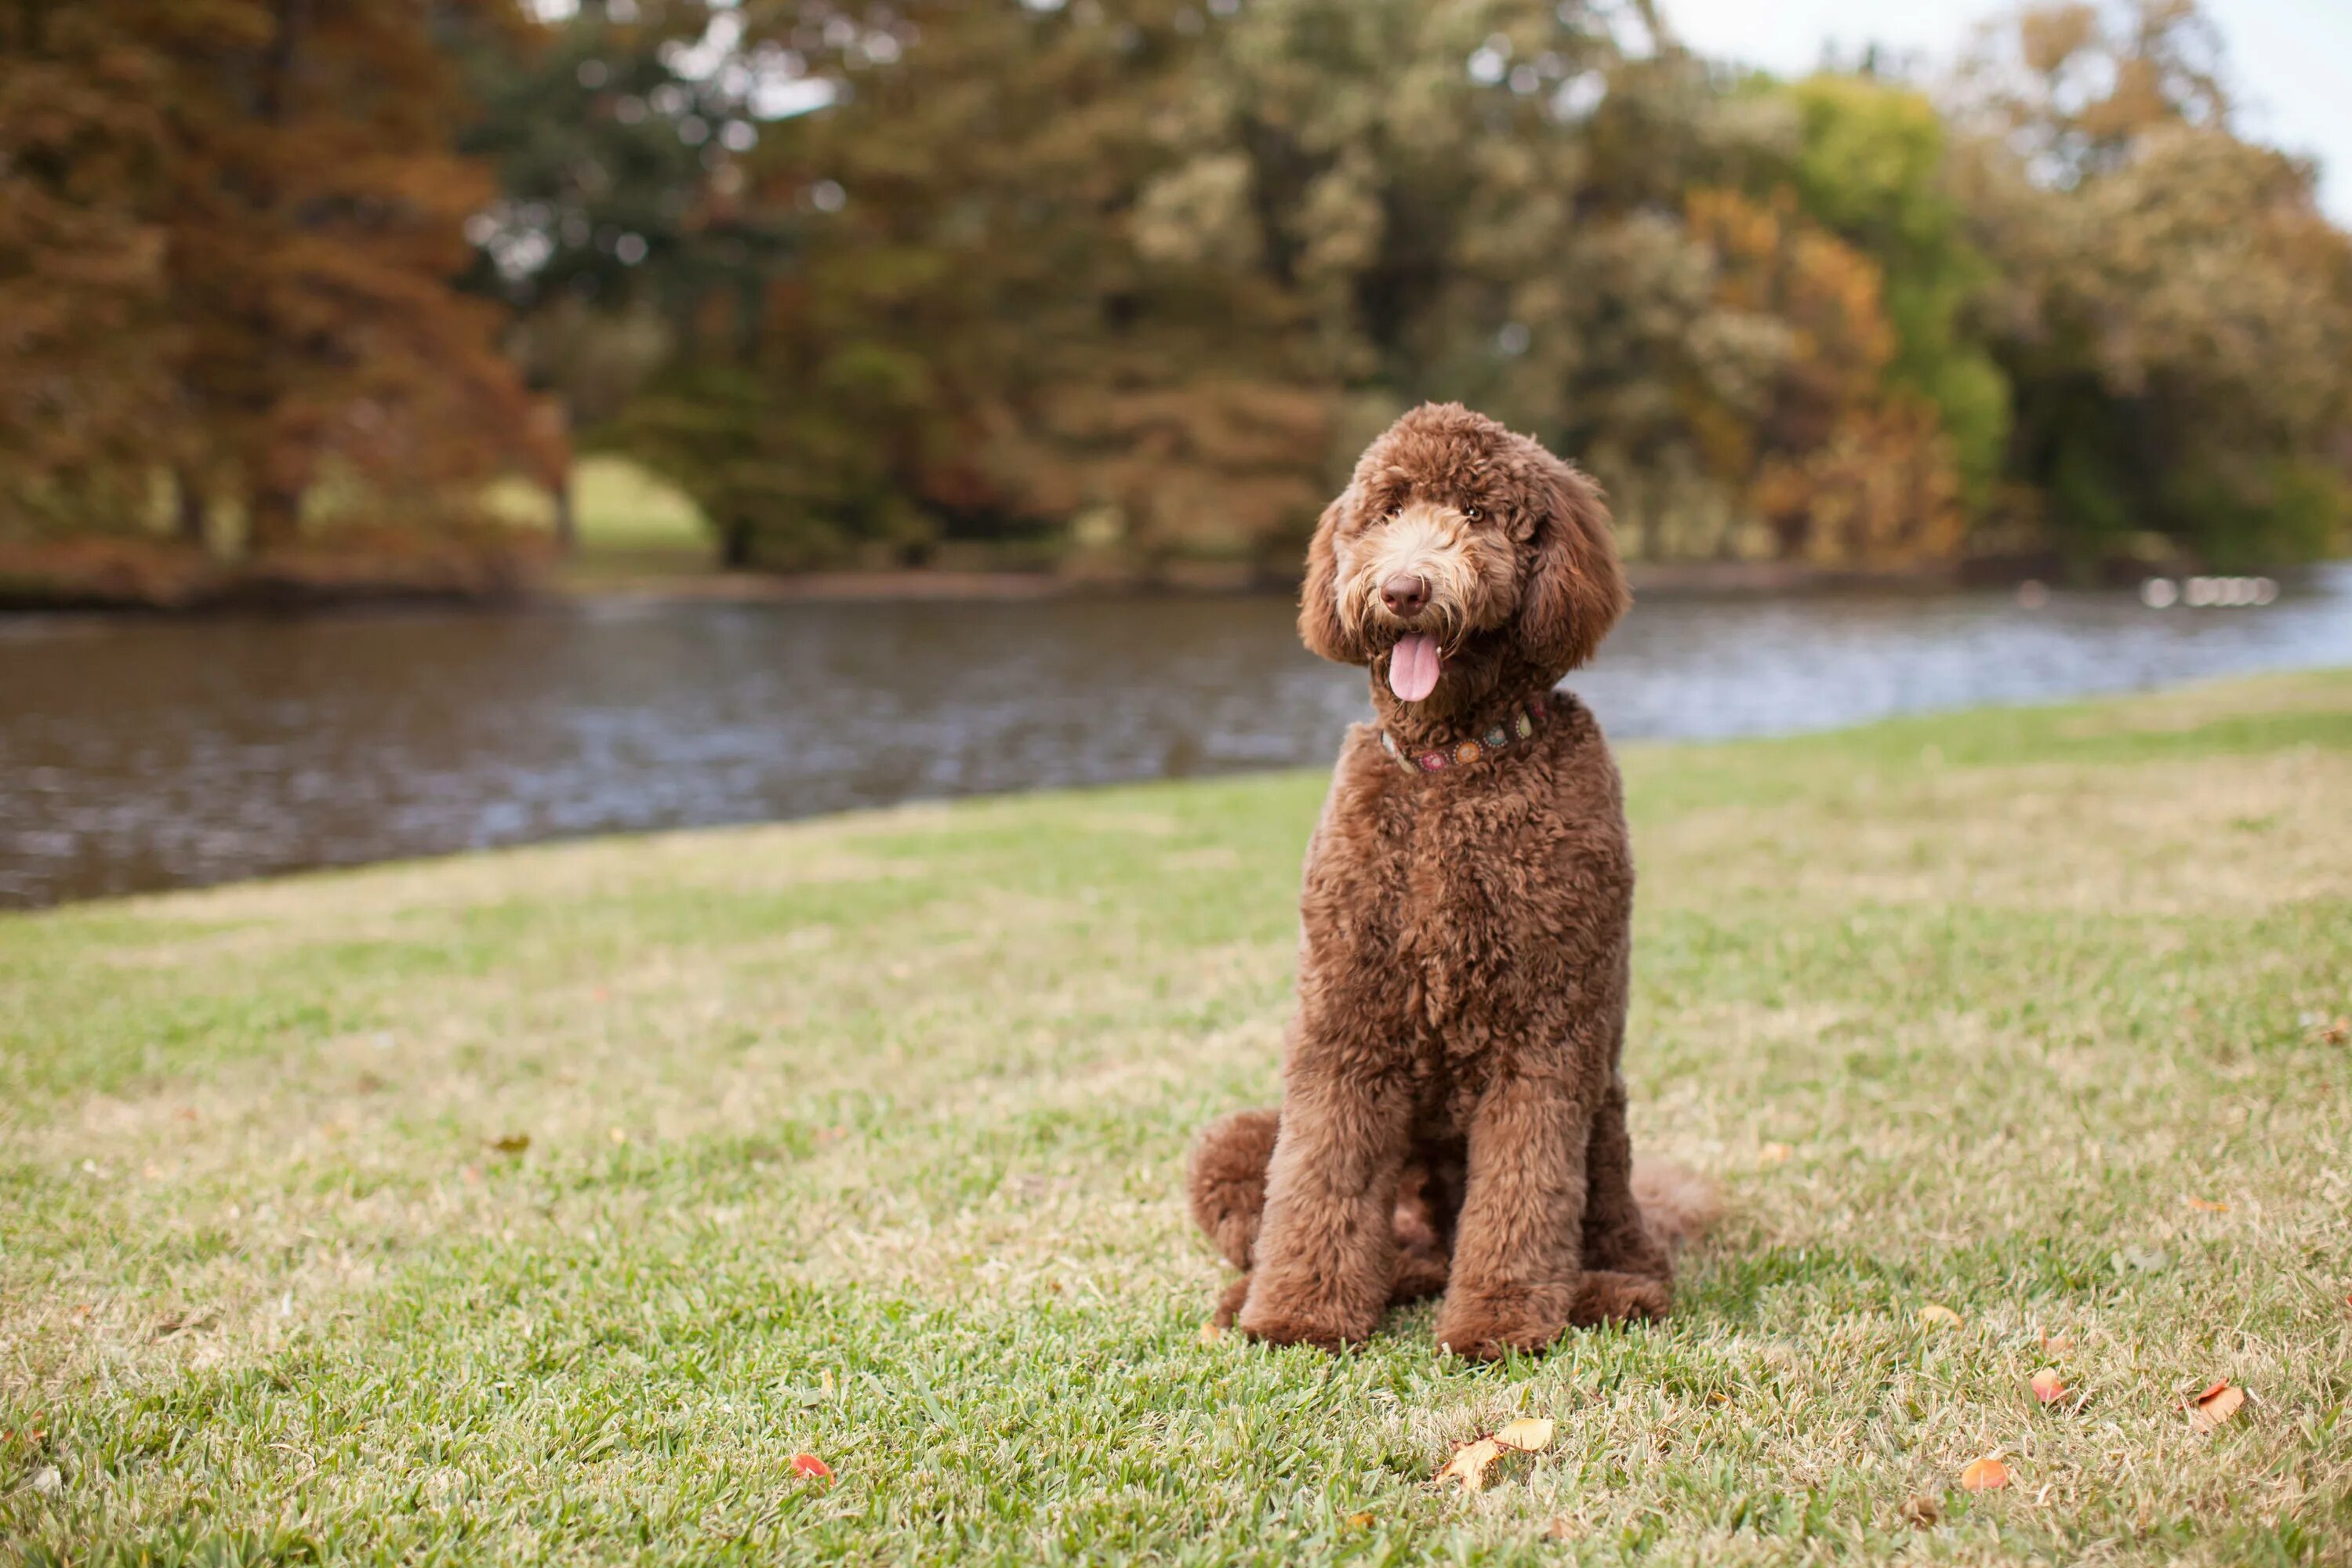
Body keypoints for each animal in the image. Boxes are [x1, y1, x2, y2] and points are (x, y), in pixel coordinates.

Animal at [1185, 401, 1722, 1363]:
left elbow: (1522, 1192)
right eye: (1388, 510)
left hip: (1606, 1136)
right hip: (1235, 1140)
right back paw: (1278, 1289)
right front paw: (1299, 1312)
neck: (1454, 768)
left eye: (1477, 514)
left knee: (1620, 1250)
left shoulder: (1546, 1036)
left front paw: (1499, 1321)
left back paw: (1601, 1289)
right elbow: (1319, 1176)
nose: (1404, 590)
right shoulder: (1345, 1016)